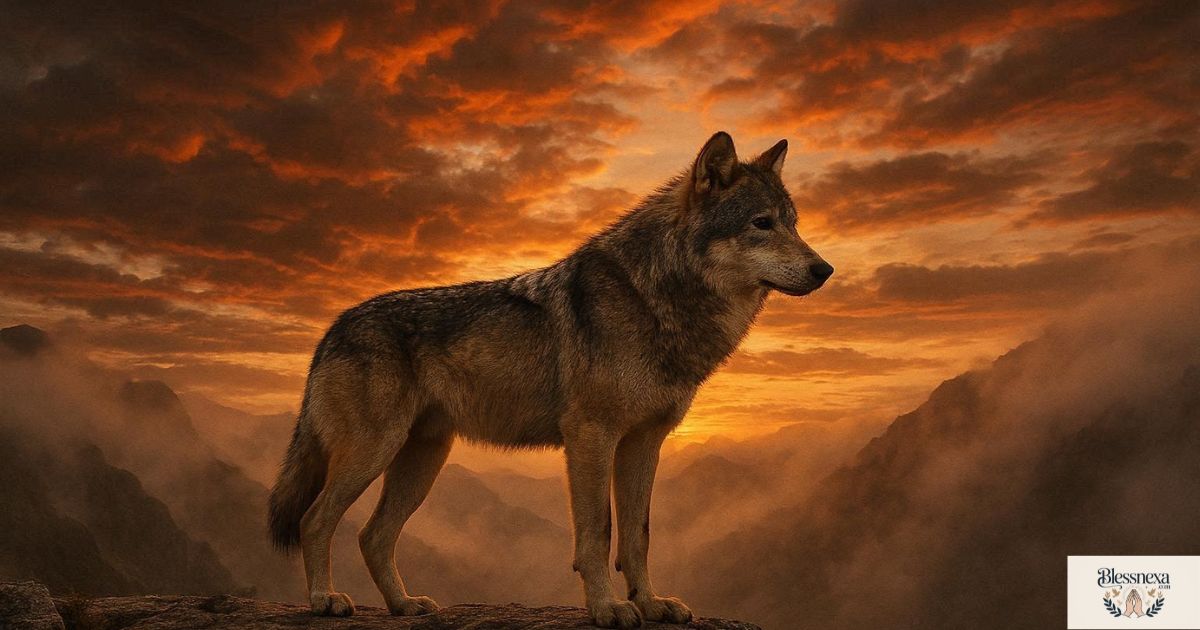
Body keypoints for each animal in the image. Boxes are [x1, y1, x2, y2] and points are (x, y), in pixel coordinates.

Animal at [268, 132, 833, 628]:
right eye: (762, 223)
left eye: (794, 224)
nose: (825, 270)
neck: (655, 298)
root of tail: (334, 327)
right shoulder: (591, 437)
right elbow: (597, 533)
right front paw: (608, 609)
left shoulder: (643, 443)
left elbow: (638, 535)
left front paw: (651, 605)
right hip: (374, 451)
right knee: (315, 521)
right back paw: (325, 601)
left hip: (422, 460)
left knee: (373, 536)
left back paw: (404, 606)